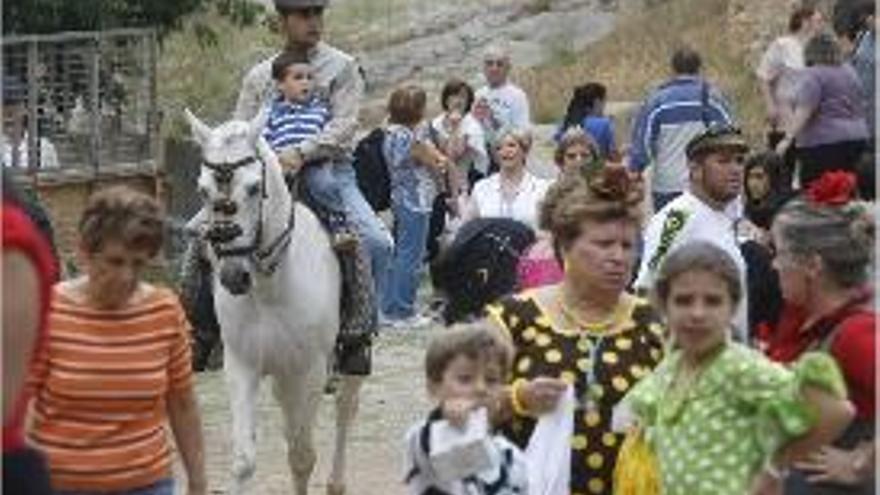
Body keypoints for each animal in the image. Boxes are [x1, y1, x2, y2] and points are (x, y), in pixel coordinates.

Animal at [184, 110, 362, 494]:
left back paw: (337, 482)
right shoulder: (241, 366)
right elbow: (244, 460)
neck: (271, 290)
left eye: (253, 187)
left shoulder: (311, 371)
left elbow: (302, 456)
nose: (233, 276)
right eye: (202, 189)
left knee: (345, 408)